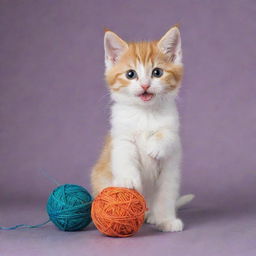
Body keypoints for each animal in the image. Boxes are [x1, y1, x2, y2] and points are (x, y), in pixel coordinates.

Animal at [92, 26, 194, 232]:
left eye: (157, 72)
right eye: (130, 74)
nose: (145, 85)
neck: (145, 114)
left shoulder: (173, 130)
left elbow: (168, 135)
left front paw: (166, 220)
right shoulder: (120, 137)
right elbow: (124, 155)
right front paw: (128, 180)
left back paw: (156, 217)